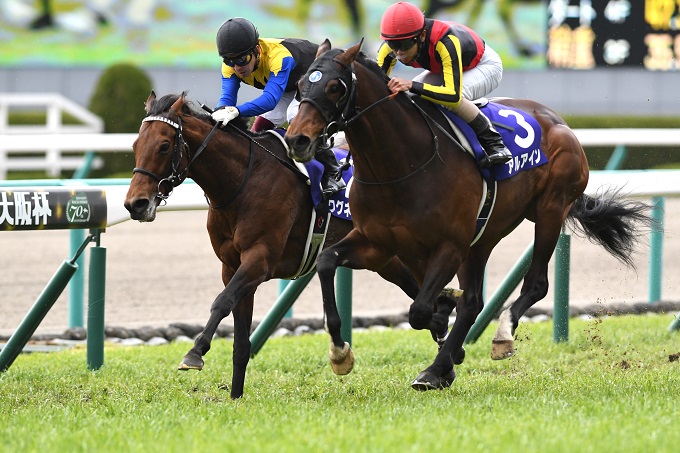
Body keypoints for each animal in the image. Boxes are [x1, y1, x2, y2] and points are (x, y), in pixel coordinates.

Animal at [123, 91, 457, 398]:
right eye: (135, 146)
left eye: (164, 145)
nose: (134, 204)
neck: (242, 182)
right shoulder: (232, 266)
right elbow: (240, 337)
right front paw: (235, 396)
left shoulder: (259, 260)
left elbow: (221, 301)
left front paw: (195, 352)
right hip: (386, 259)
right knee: (428, 298)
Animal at [284, 40, 654, 390]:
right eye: (300, 85)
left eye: (335, 86)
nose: (297, 139)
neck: (400, 165)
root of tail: (557, 121)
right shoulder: (376, 242)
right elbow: (327, 262)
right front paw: (340, 354)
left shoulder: (449, 244)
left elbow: (420, 310)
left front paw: (445, 338)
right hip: (481, 238)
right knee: (474, 301)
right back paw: (441, 363)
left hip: (550, 209)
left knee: (535, 284)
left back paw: (491, 340)